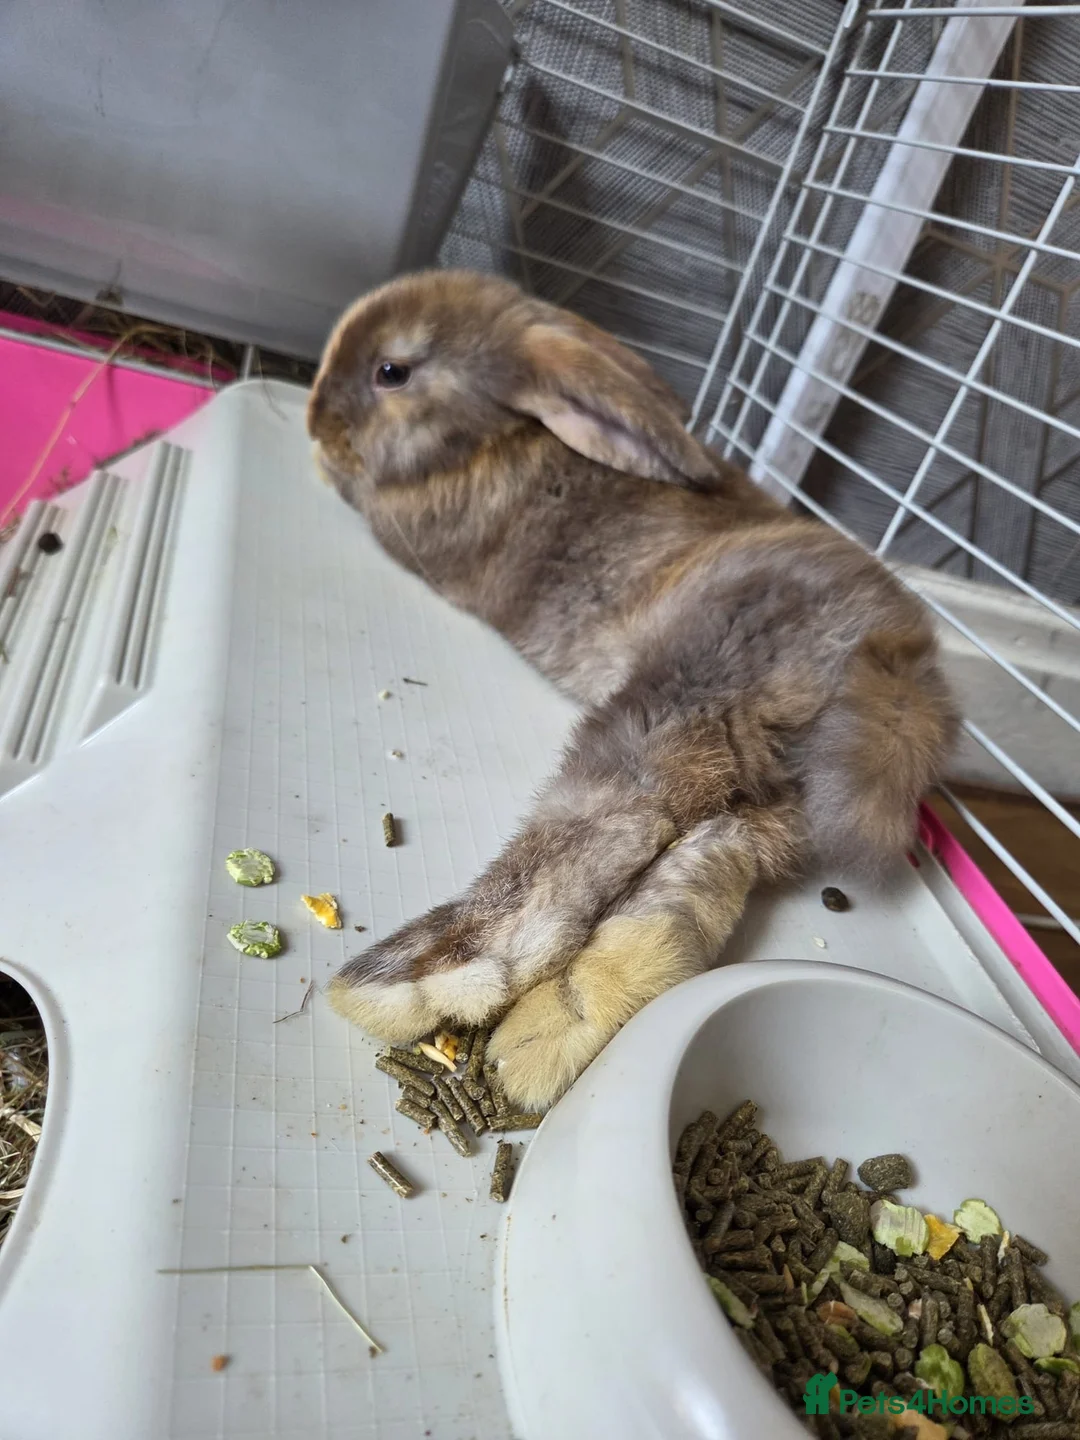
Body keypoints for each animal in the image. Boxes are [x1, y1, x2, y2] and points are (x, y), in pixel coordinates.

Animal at [307, 269, 958, 1110]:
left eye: (393, 371)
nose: (318, 425)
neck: (501, 436)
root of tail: (898, 664)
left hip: (679, 704)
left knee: (602, 831)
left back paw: (411, 984)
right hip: (770, 802)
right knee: (698, 869)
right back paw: (550, 1032)